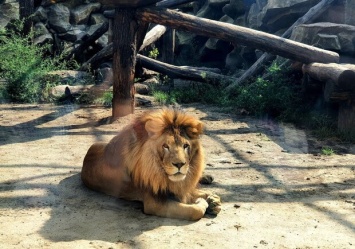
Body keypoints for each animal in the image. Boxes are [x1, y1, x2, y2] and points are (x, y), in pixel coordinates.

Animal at [81, 107, 221, 220]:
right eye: (165, 146)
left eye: (185, 146)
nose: (179, 164)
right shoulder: (154, 204)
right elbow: (195, 211)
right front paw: (203, 202)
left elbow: (193, 190)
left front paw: (213, 200)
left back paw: (207, 177)